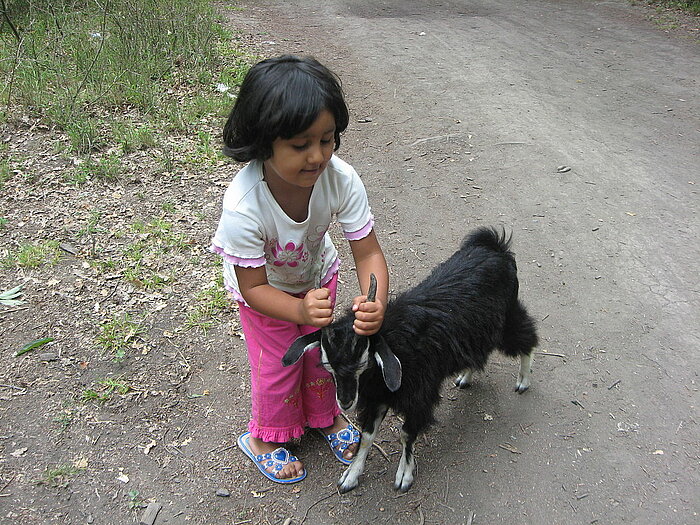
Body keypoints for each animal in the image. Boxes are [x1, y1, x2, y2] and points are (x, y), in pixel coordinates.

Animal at [282, 225, 540, 492]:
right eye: (328, 367)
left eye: (363, 363)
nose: (345, 402)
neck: (394, 346)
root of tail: (495, 248)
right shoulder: (378, 397)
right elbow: (367, 435)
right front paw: (351, 475)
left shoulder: (419, 395)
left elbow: (406, 433)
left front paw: (404, 475)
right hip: (478, 331)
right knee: (478, 352)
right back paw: (465, 377)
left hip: (506, 317)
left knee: (526, 336)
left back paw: (523, 381)